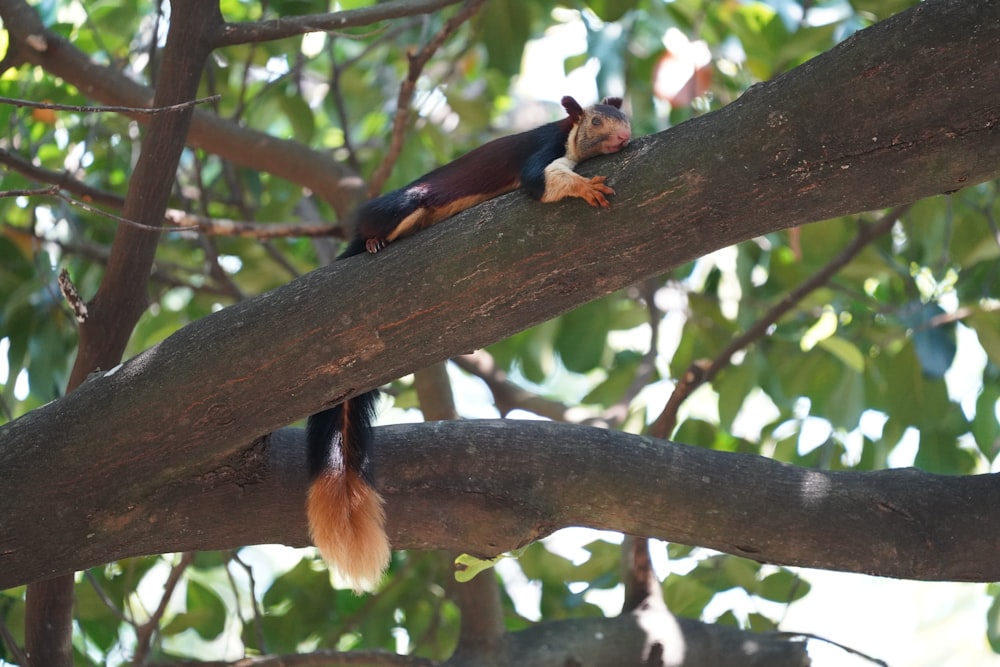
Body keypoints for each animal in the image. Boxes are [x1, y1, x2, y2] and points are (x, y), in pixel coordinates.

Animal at [306, 94, 632, 588]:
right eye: (595, 121)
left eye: (624, 115)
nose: (624, 137)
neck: (568, 133)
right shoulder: (543, 152)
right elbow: (542, 183)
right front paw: (584, 187)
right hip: (403, 204)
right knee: (389, 219)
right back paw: (378, 240)